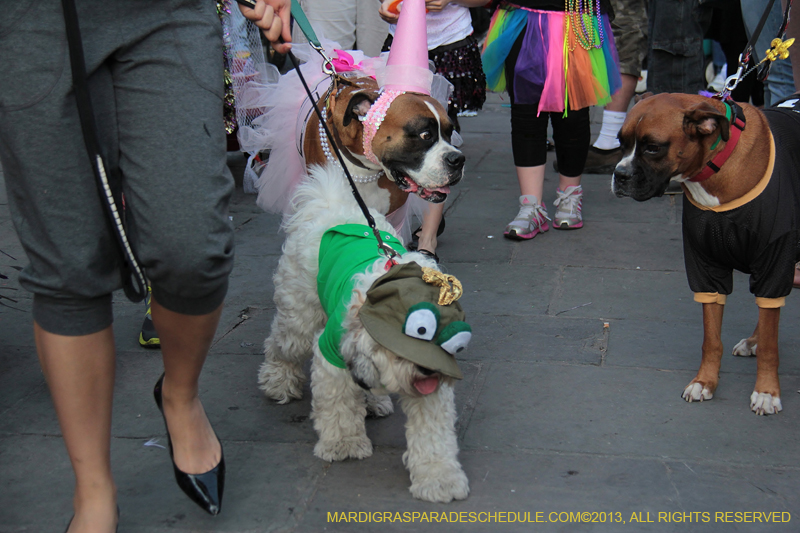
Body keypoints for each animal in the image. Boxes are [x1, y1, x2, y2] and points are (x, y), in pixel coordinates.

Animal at [258, 163, 468, 502]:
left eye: (448, 342)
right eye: (418, 330)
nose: (426, 370)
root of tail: (329, 199)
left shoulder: (431, 382)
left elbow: (433, 434)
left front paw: (439, 477)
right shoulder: (331, 354)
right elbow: (338, 405)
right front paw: (343, 444)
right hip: (299, 317)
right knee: (281, 344)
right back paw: (277, 381)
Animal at [608, 91, 800, 416]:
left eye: (652, 147)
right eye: (621, 142)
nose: (619, 175)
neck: (717, 165)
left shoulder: (774, 261)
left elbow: (771, 343)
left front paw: (766, 391)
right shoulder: (707, 271)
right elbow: (712, 339)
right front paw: (705, 382)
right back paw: (753, 340)